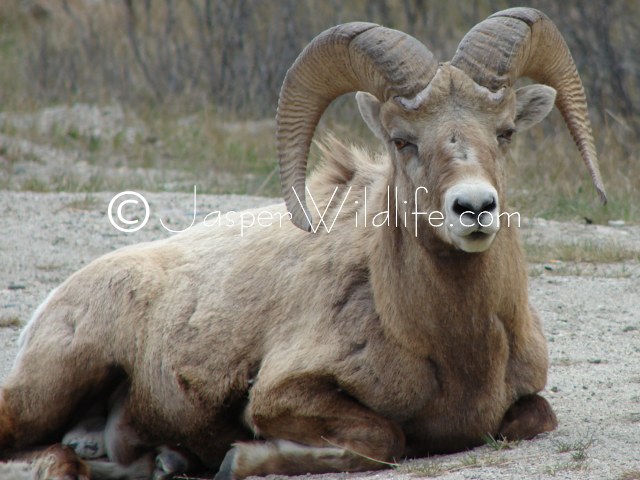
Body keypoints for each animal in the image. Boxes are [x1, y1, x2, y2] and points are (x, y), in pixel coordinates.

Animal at [0, 7, 605, 480]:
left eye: (506, 133)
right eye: (401, 141)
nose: (474, 208)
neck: (451, 346)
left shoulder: (527, 402)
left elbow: (537, 415)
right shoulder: (281, 395)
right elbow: (385, 439)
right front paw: (238, 460)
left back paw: (163, 462)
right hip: (54, 383)